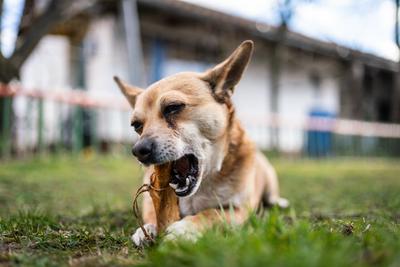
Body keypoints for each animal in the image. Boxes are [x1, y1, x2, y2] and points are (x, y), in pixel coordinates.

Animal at [114, 39, 290, 247]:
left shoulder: (238, 210)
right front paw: (148, 228)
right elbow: (152, 211)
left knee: (271, 197)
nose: (138, 150)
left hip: (270, 182)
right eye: (136, 126)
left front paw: (186, 228)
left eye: (173, 107)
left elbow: (211, 214)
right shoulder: (151, 198)